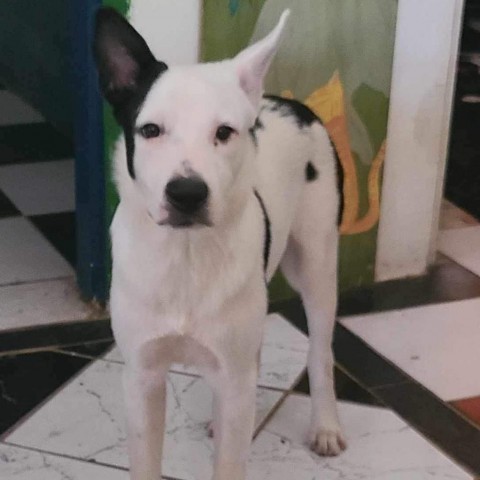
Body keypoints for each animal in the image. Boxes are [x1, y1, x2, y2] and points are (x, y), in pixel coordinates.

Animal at [94, 7, 346, 480]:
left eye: (225, 132)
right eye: (150, 129)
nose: (187, 193)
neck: (186, 255)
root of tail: (293, 104)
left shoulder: (231, 369)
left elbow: (230, 459)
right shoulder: (141, 374)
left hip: (317, 264)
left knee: (320, 350)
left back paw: (325, 425)